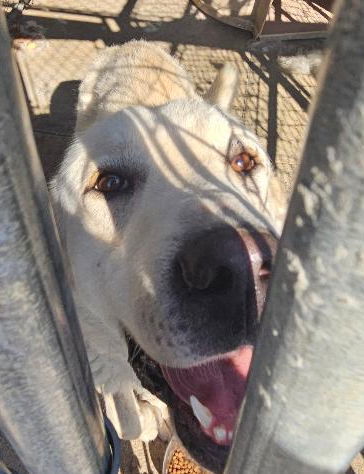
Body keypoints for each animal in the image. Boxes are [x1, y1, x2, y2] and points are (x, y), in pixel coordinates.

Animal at [49, 41, 288, 474]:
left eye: (243, 161)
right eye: (110, 182)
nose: (244, 264)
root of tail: (132, 44)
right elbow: (129, 418)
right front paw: (145, 420)